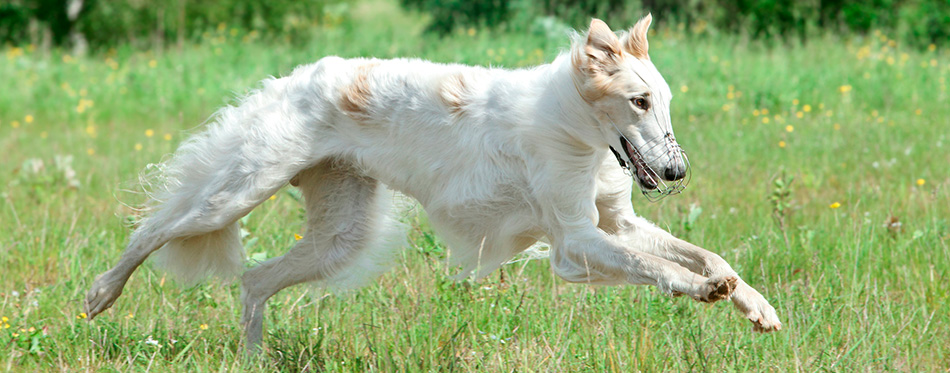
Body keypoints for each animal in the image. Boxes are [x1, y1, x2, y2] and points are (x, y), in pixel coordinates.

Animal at [83, 15, 780, 352]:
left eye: (663, 100)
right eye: (638, 101)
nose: (677, 172)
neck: (572, 124)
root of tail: (296, 76)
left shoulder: (617, 222)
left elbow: (710, 255)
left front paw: (755, 306)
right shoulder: (574, 242)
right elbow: (663, 268)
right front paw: (700, 290)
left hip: (341, 236)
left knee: (254, 281)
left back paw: (252, 355)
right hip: (236, 192)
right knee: (150, 229)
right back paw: (98, 295)